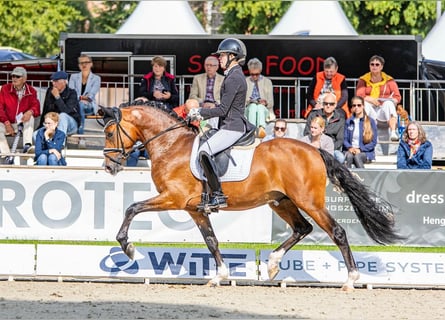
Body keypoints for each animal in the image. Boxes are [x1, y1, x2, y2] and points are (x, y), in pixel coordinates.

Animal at [100, 102, 402, 290]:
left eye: (110, 132)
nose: (109, 167)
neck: (170, 145)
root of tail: (314, 150)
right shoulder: (194, 209)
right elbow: (211, 240)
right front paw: (219, 276)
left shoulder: (172, 197)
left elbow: (132, 208)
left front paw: (128, 248)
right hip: (281, 201)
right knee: (302, 228)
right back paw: (272, 265)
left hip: (308, 201)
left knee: (336, 231)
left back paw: (350, 280)